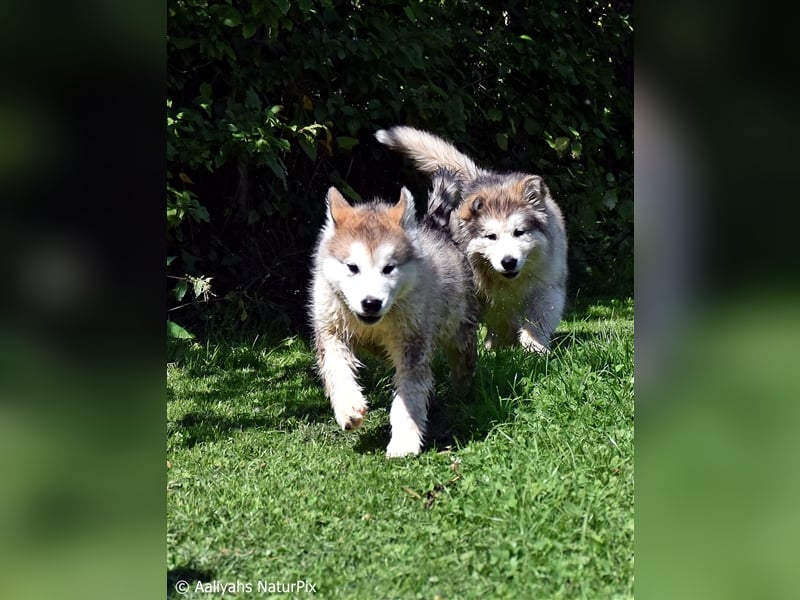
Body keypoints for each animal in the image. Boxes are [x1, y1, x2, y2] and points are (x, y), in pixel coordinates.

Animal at [310, 180, 476, 458]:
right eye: (352, 267)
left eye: (389, 268)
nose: (371, 302)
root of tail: (434, 227)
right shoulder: (331, 331)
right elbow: (337, 370)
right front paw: (348, 407)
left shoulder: (413, 342)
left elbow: (409, 393)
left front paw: (404, 441)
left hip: (459, 326)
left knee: (462, 361)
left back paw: (464, 394)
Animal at [376, 126, 568, 352]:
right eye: (491, 236)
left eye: (519, 232)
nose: (508, 262)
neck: (509, 280)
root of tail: (480, 177)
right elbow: (497, 317)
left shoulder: (546, 284)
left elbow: (539, 316)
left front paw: (534, 346)